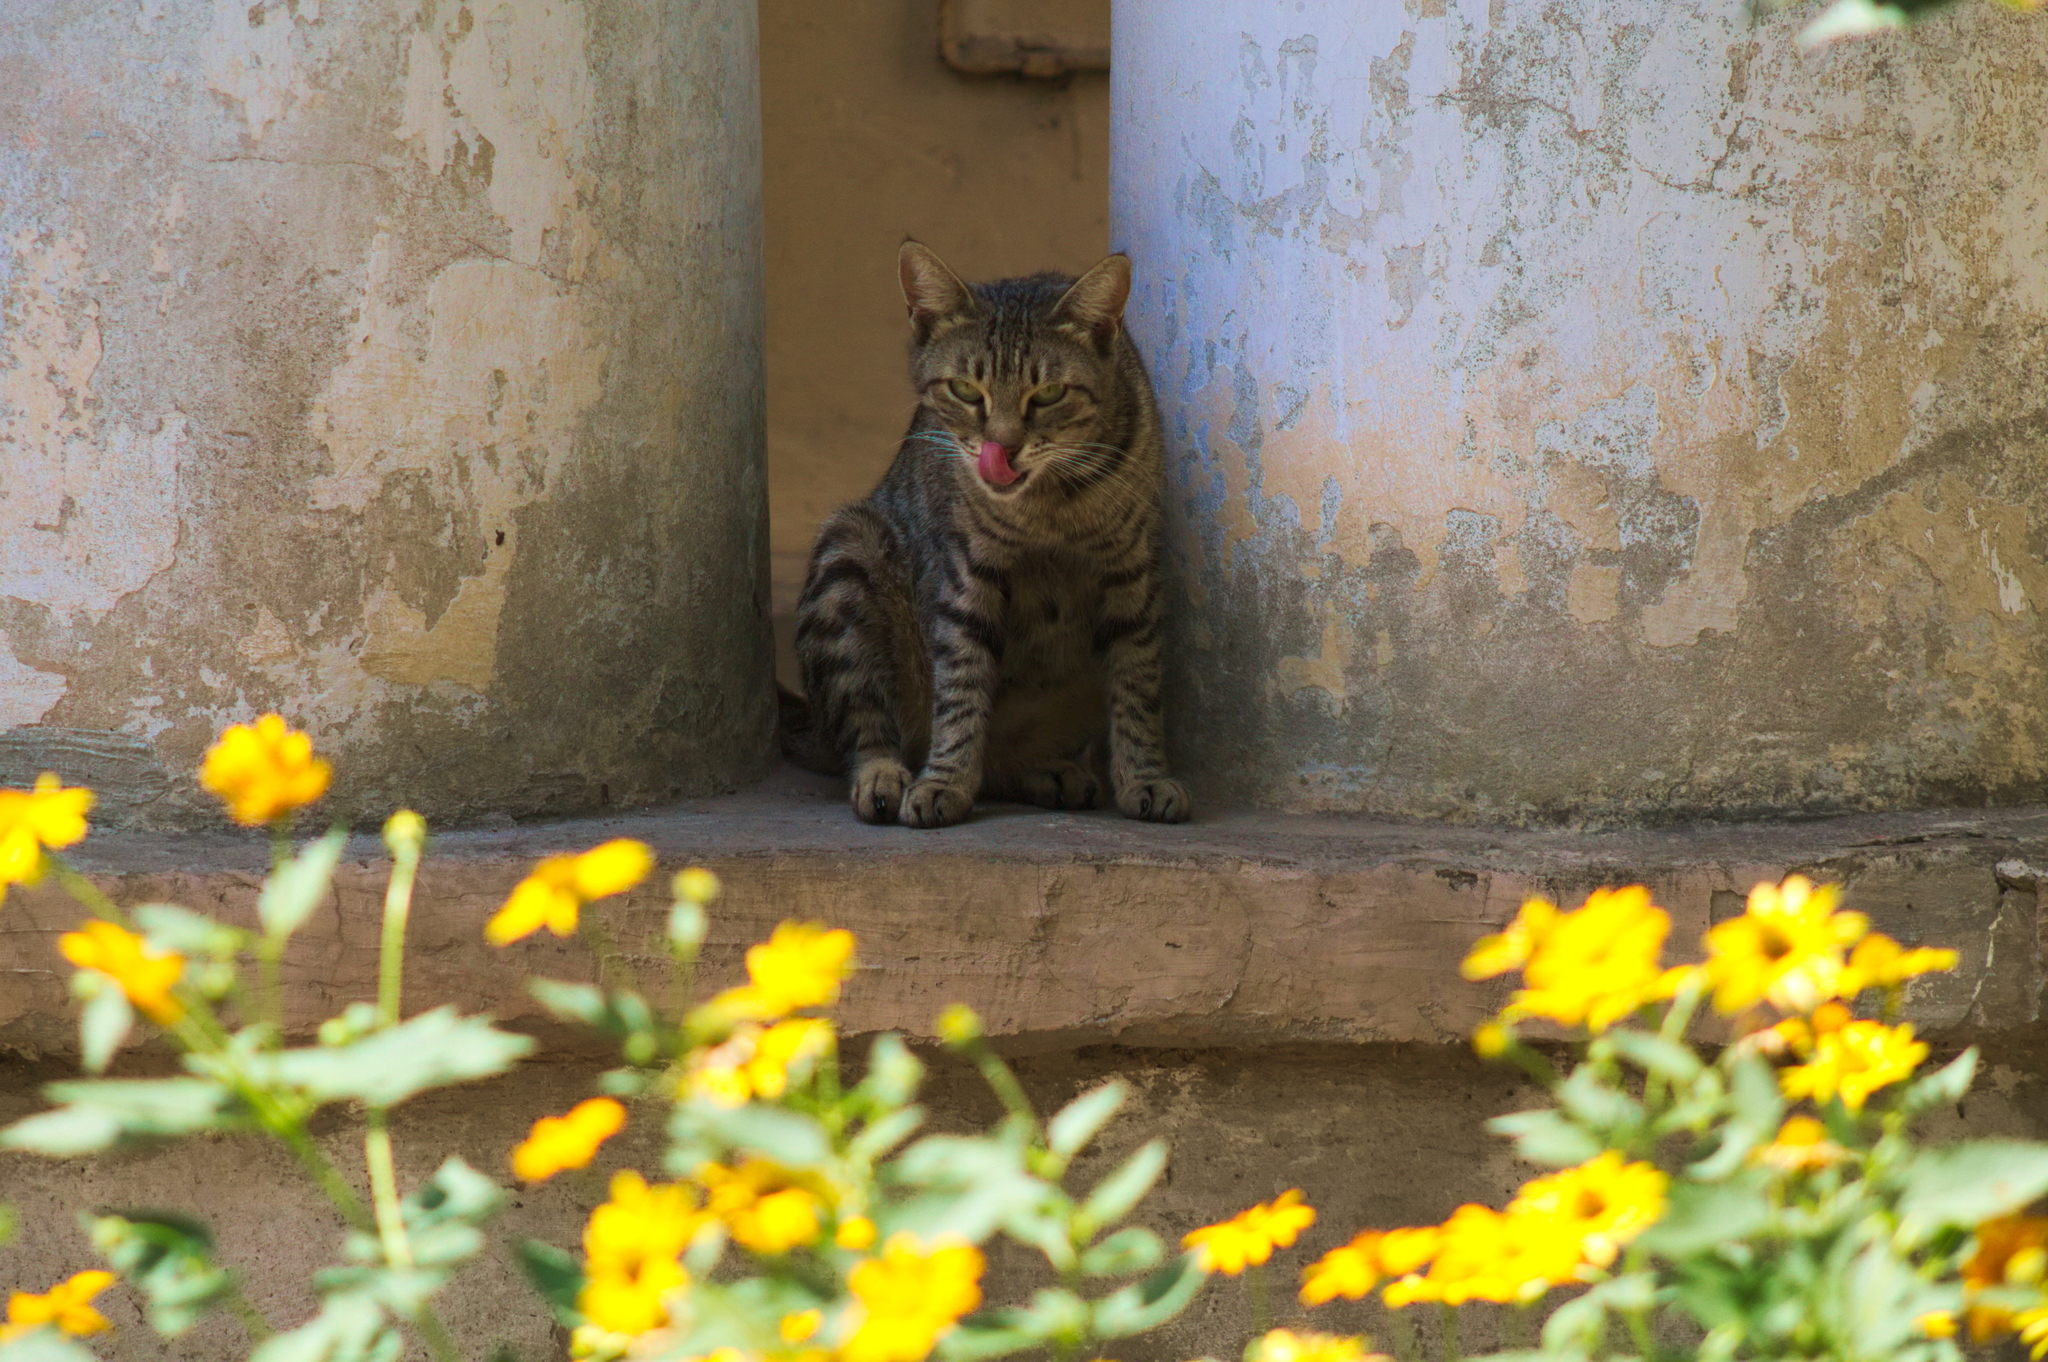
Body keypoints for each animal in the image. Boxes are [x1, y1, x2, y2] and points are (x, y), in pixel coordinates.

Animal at [782, 241, 1196, 827]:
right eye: (964, 390)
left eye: (1049, 393)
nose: (1003, 447)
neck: (1052, 505)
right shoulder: (964, 576)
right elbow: (961, 683)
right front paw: (945, 781)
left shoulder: (1132, 576)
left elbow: (1138, 684)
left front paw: (1146, 776)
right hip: (847, 555)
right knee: (868, 726)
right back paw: (884, 776)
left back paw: (1046, 772)